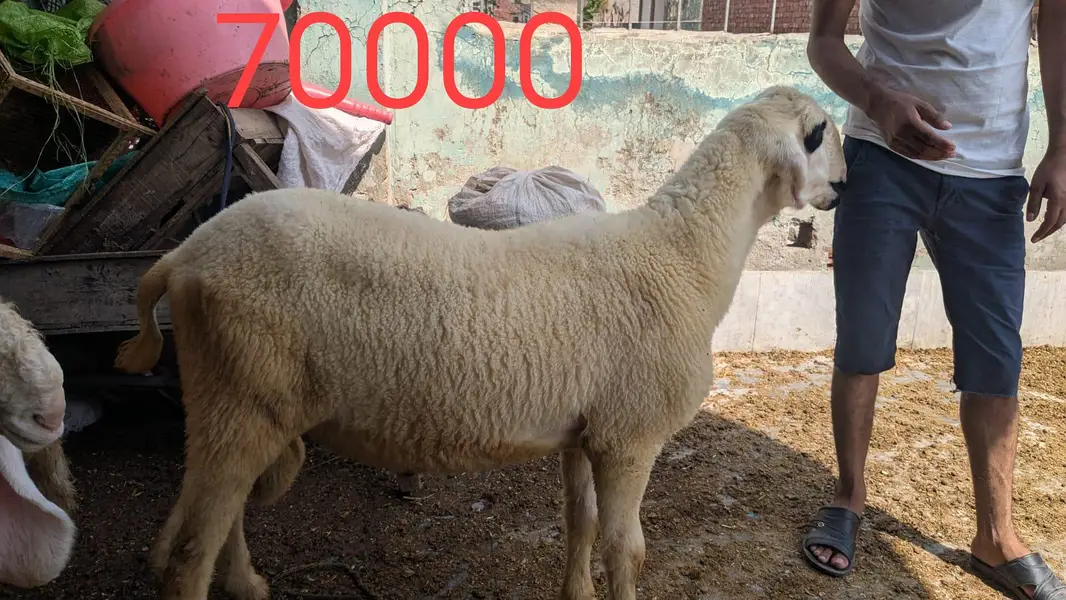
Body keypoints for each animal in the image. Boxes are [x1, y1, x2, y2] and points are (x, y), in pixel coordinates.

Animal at [112, 85, 845, 600]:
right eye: (817, 134)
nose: (842, 187)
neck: (684, 253)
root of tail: (185, 255)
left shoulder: (587, 432)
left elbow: (579, 523)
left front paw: (575, 593)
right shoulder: (630, 434)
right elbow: (626, 548)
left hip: (236, 398)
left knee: (220, 510)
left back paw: (246, 583)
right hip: (240, 390)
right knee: (191, 550)